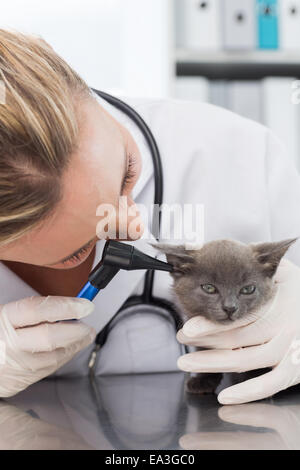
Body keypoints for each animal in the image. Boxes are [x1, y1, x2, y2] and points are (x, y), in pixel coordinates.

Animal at [154, 237, 296, 394]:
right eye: (209, 288)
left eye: (248, 289)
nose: (230, 307)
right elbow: (204, 353)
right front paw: (204, 380)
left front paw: (254, 382)